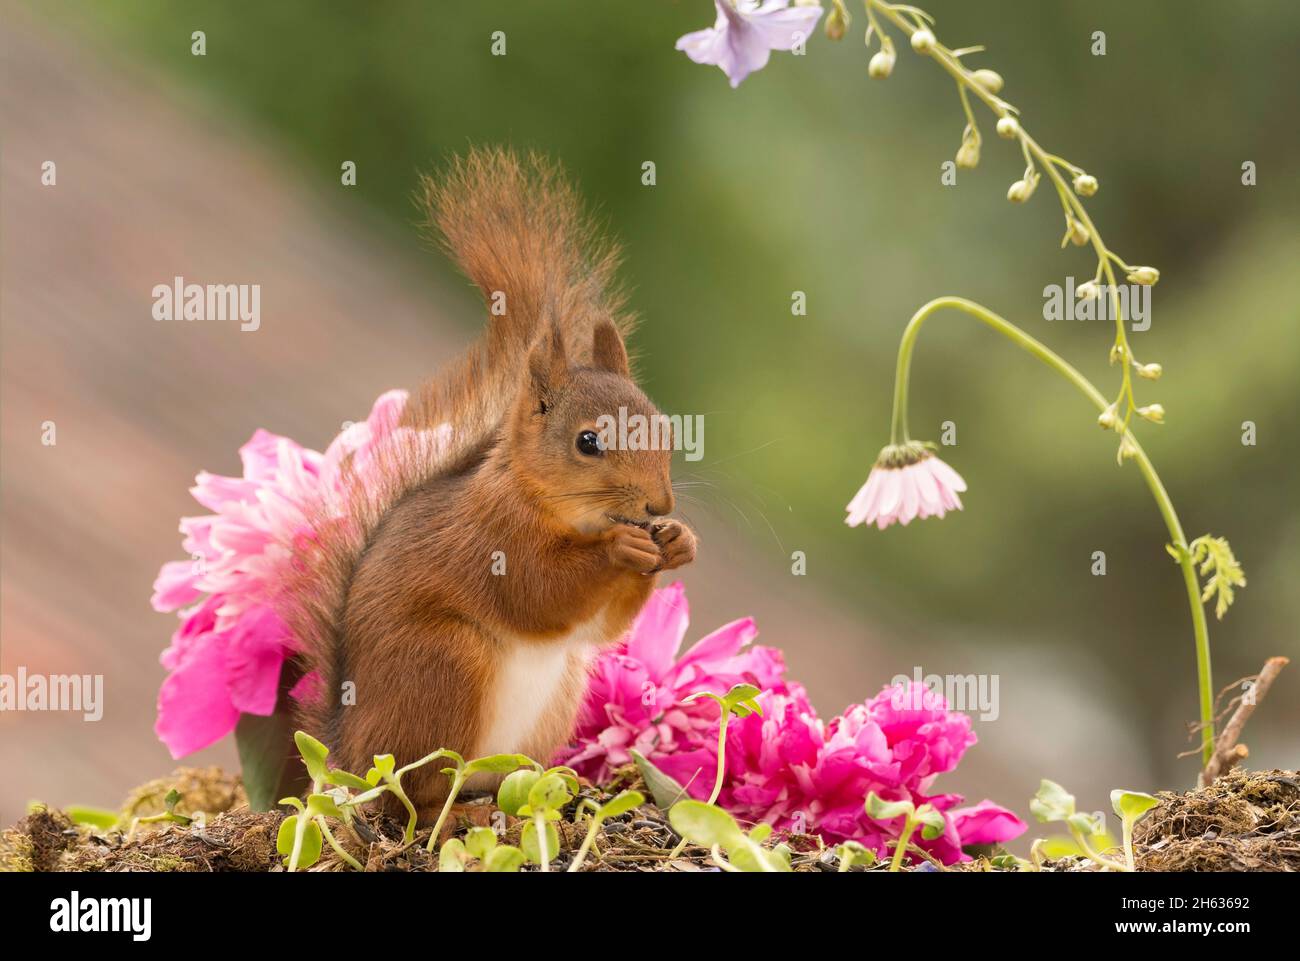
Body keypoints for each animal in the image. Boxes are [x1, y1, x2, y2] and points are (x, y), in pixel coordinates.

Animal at [283, 146, 691, 816]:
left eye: (666, 429)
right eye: (588, 442)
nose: (658, 505)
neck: (557, 508)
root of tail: (350, 755)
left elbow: (602, 628)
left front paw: (679, 541)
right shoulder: (491, 537)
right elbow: (537, 591)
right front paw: (620, 548)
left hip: (557, 696)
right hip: (445, 666)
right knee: (413, 793)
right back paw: (443, 810)